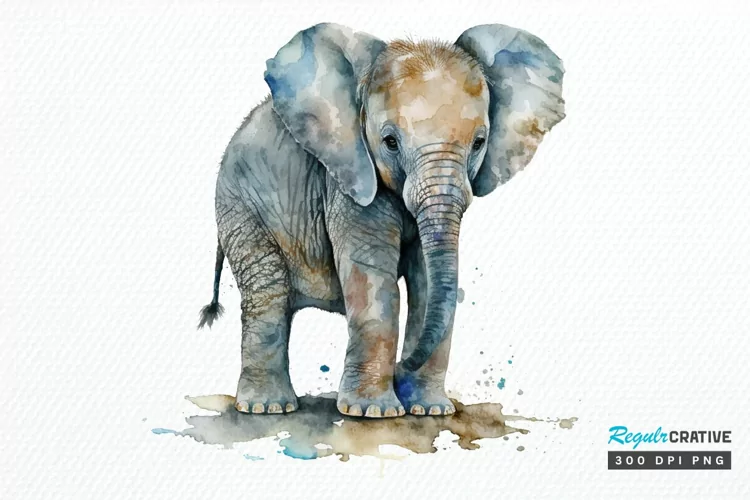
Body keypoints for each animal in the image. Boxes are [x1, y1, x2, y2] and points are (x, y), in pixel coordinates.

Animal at [197, 23, 565, 418]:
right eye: (389, 142)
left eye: (479, 142)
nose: (402, 369)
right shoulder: (349, 180)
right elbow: (373, 278)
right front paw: (373, 413)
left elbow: (426, 282)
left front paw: (430, 410)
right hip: (240, 206)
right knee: (268, 292)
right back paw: (268, 408)